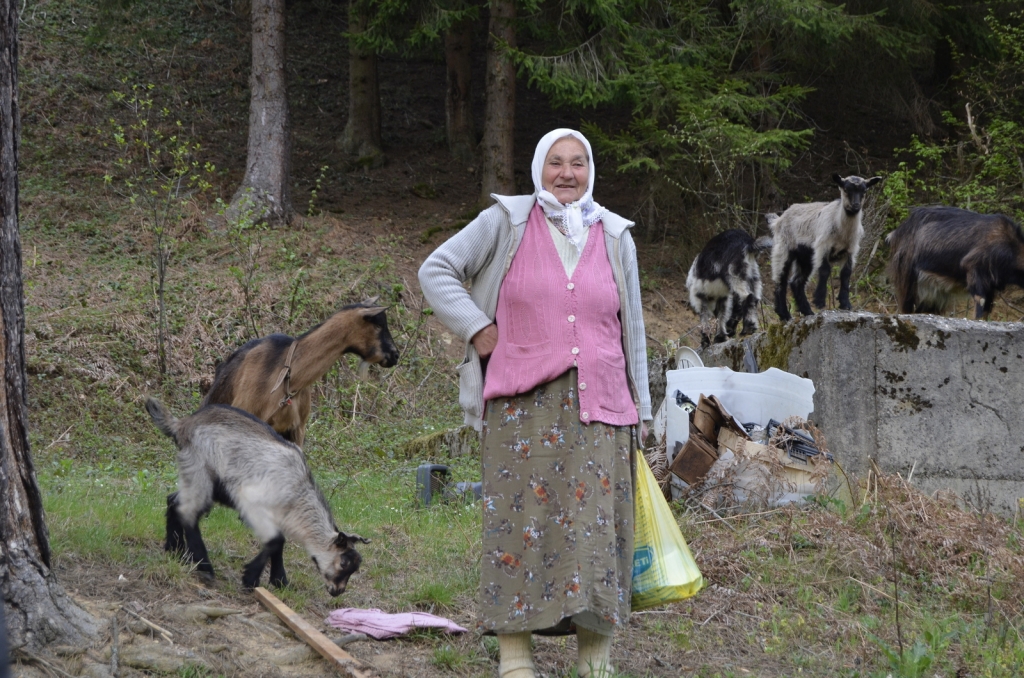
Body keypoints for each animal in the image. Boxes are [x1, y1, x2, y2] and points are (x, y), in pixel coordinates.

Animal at [144, 401, 368, 598]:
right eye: (344, 563)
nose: (338, 591)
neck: (297, 492)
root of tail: (183, 425)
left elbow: (279, 543)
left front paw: (280, 581)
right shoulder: (252, 503)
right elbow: (274, 540)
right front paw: (251, 579)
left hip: (200, 479)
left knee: (174, 501)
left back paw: (174, 549)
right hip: (201, 471)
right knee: (189, 512)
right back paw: (204, 567)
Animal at [770, 174, 884, 319]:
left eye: (864, 191)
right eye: (846, 189)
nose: (856, 206)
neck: (842, 232)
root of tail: (778, 220)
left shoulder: (851, 251)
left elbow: (846, 274)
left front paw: (845, 304)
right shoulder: (822, 246)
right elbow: (825, 270)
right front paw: (819, 301)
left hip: (805, 257)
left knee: (796, 282)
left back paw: (807, 312)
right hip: (783, 247)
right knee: (781, 280)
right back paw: (784, 314)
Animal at [884, 205, 1024, 319]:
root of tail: (895, 233)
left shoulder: (991, 285)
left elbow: (987, 309)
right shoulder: (975, 267)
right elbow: (981, 304)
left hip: (934, 293)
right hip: (907, 277)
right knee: (906, 306)